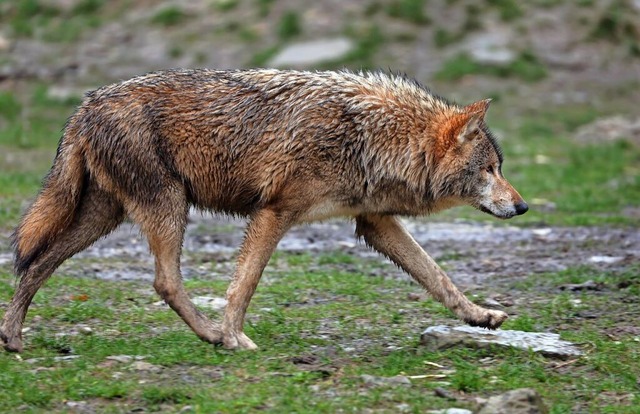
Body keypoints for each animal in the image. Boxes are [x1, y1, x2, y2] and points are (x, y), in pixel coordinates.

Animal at [1, 68, 528, 352]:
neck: (372, 137)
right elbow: (245, 285)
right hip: (168, 208)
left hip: (106, 217)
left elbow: (438, 276)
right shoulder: (274, 212)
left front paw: (480, 316)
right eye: (491, 169)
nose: (523, 206)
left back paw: (13, 338)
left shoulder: (374, 223)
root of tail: (84, 105)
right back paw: (212, 336)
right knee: (164, 281)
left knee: (36, 263)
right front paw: (234, 337)